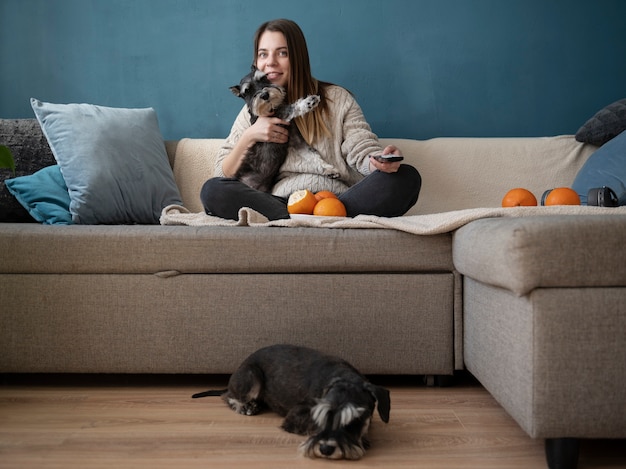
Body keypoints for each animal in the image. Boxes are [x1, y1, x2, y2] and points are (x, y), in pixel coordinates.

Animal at [193, 342, 390, 458]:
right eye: (323, 417)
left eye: (353, 420)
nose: (325, 449)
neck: (344, 377)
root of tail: (241, 363)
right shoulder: (298, 414)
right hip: (252, 376)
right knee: (228, 396)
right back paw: (246, 406)